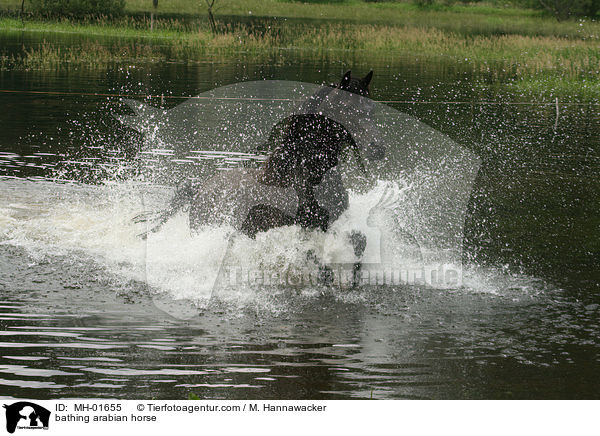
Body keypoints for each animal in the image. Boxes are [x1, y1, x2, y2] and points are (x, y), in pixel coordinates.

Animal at [138, 70, 378, 264]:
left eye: (372, 109)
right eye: (348, 108)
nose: (378, 149)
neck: (303, 174)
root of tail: (200, 189)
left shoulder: (333, 223)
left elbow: (359, 241)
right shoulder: (307, 227)